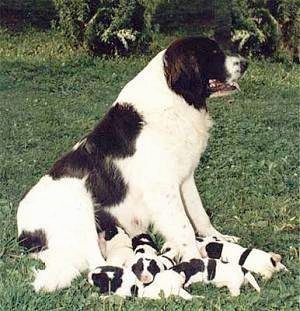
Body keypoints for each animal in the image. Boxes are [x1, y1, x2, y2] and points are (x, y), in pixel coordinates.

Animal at [16, 37, 247, 292]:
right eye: (213, 53)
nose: (245, 63)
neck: (174, 98)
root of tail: (24, 232)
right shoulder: (163, 188)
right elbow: (184, 226)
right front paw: (198, 261)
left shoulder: (185, 178)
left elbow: (199, 214)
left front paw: (218, 239)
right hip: (80, 206)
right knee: (95, 262)